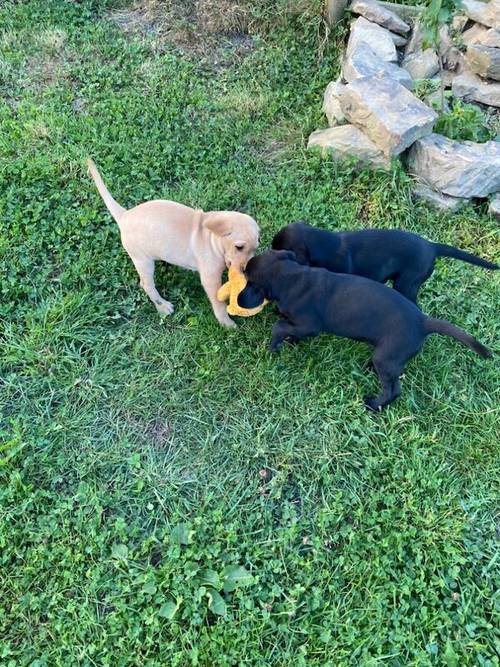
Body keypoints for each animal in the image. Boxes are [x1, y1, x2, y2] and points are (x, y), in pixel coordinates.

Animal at [87, 159, 258, 326]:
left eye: (254, 249)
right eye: (239, 247)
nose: (247, 271)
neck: (212, 240)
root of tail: (124, 215)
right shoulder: (210, 279)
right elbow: (219, 303)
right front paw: (227, 323)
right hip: (142, 260)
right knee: (146, 284)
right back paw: (162, 306)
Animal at [238, 250, 492, 412]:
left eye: (248, 280)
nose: (238, 300)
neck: (292, 276)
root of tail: (422, 321)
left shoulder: (309, 325)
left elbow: (280, 326)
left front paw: (274, 345)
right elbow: (287, 327)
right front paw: (289, 341)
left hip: (387, 357)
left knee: (393, 389)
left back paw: (374, 405)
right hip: (387, 355)